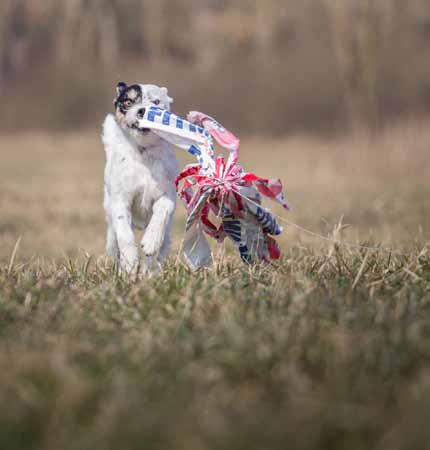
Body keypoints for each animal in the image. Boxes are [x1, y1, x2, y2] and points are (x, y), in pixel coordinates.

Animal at [102, 83, 178, 274]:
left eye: (156, 101)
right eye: (128, 101)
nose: (143, 110)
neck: (144, 153)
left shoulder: (167, 196)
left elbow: (161, 214)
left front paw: (151, 242)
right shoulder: (120, 201)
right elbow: (125, 235)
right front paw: (129, 263)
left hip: (167, 236)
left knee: (159, 252)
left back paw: (151, 272)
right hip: (110, 230)